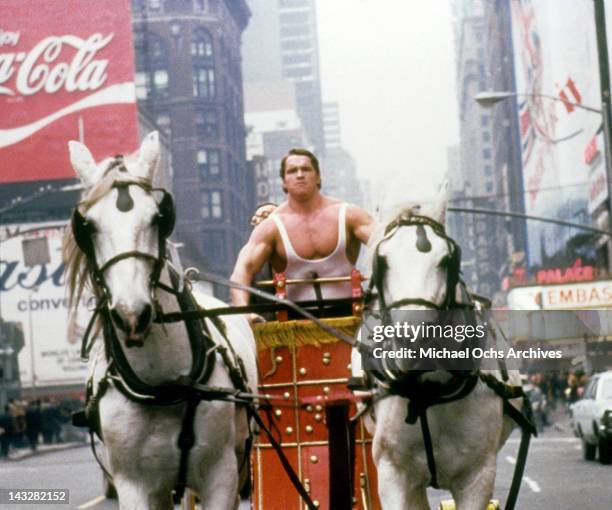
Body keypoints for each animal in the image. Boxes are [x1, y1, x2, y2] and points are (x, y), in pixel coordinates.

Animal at [64, 132, 258, 510]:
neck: (163, 384)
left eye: (158, 216)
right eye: (87, 225)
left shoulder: (222, 476)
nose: (132, 313)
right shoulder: (134, 485)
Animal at [354, 188, 524, 510]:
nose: (412, 341)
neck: (428, 392)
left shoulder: (478, 477)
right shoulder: (392, 473)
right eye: (382, 260)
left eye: (446, 260)